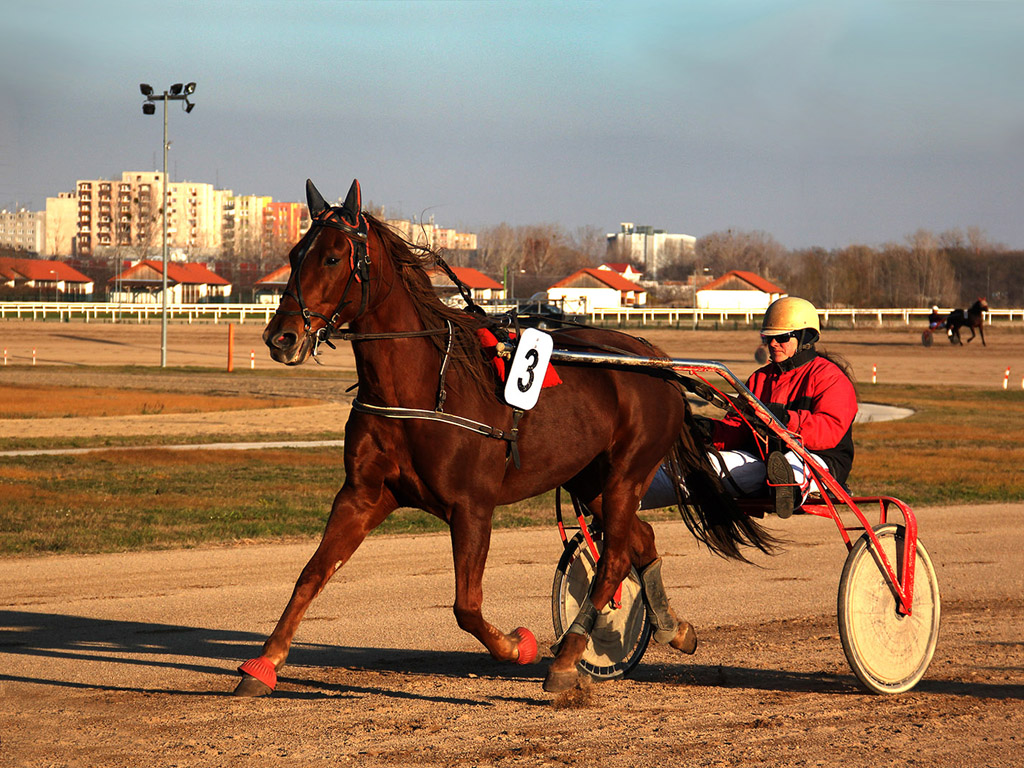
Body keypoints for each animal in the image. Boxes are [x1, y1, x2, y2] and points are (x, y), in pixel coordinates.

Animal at [234, 180, 774, 696]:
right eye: (293, 255)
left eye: (332, 257)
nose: (280, 338)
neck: (424, 388)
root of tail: (656, 359)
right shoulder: (362, 495)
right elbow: (311, 574)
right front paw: (263, 666)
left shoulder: (472, 506)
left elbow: (466, 606)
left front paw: (520, 645)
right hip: (590, 480)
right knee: (641, 540)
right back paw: (671, 628)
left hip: (628, 472)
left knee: (616, 558)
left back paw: (566, 659)